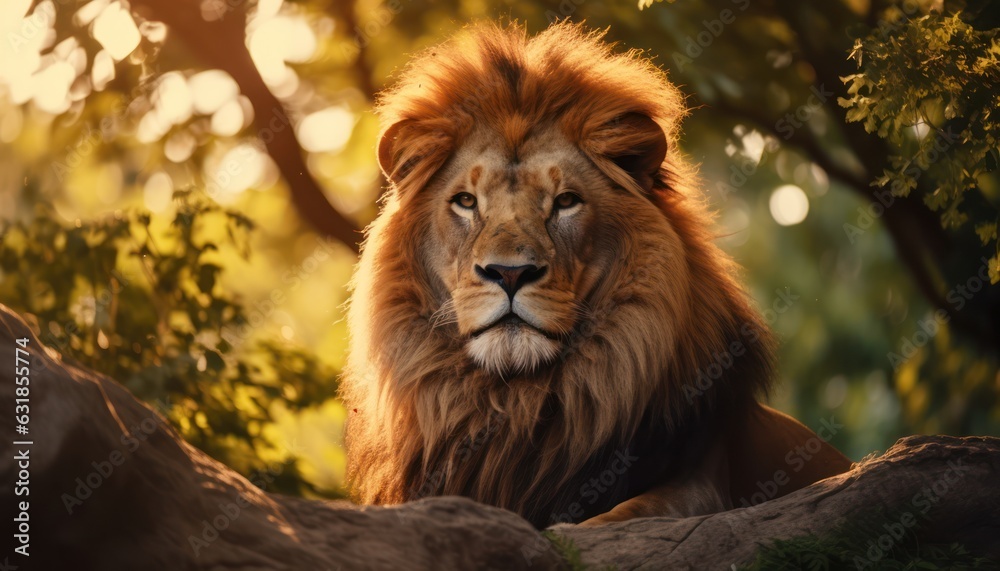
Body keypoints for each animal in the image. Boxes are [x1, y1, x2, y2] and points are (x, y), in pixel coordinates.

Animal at [340, 21, 851, 528]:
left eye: (566, 201)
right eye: (466, 201)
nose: (509, 273)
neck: (516, 405)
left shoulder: (702, 486)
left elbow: (608, 521)